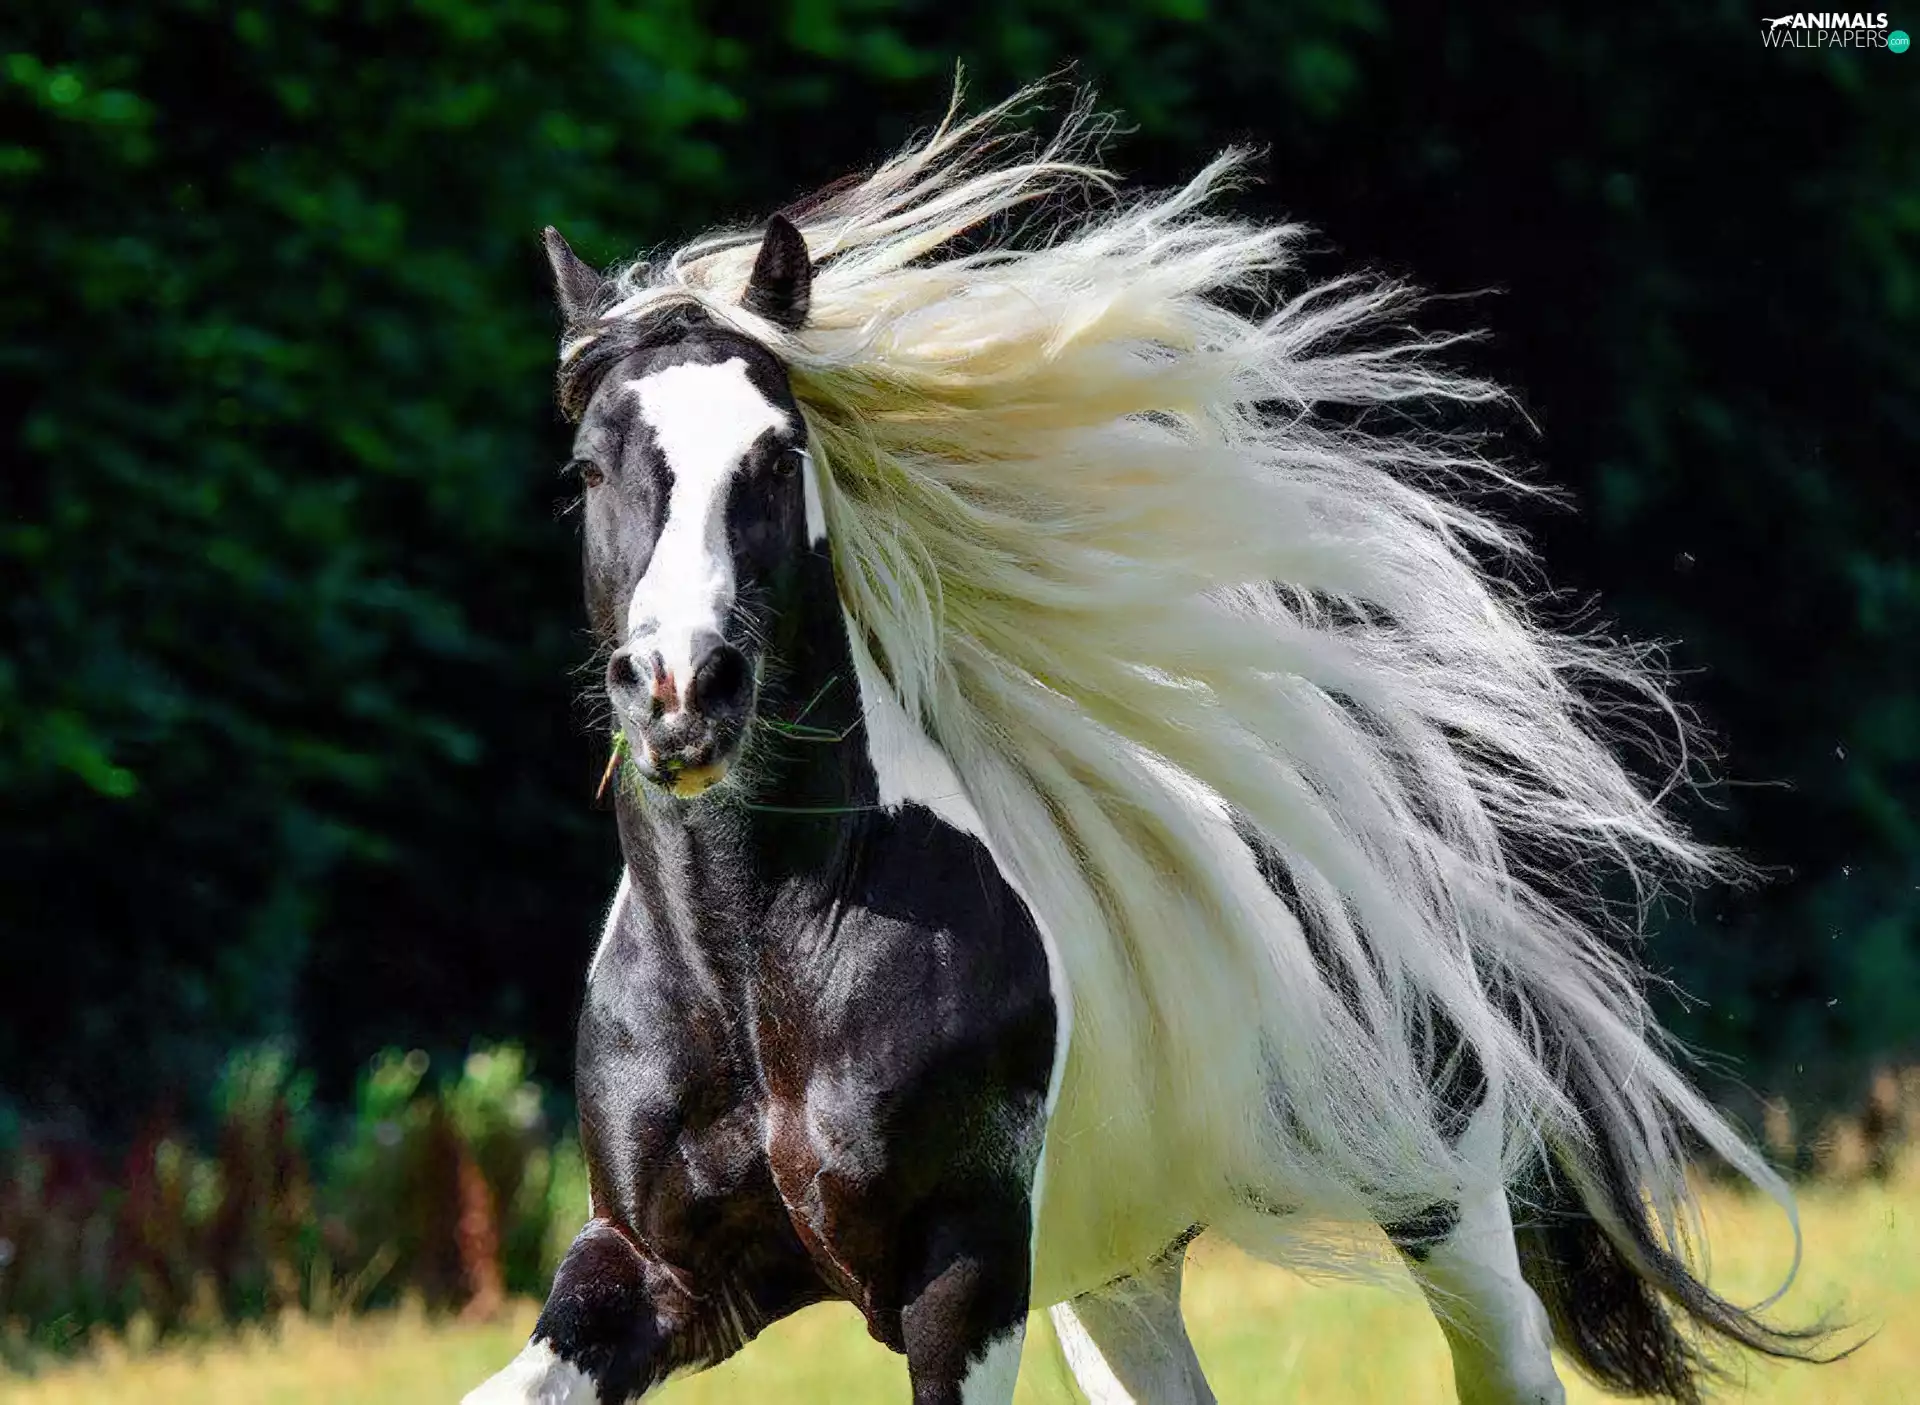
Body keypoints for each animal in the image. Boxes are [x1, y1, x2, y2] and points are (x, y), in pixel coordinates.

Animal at [468, 89, 1821, 1405]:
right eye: (588, 466)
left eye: (776, 454)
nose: (683, 692)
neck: (753, 977)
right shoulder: (659, 1273)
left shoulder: (963, 1276)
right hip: (1116, 1269)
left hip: (1440, 1192)